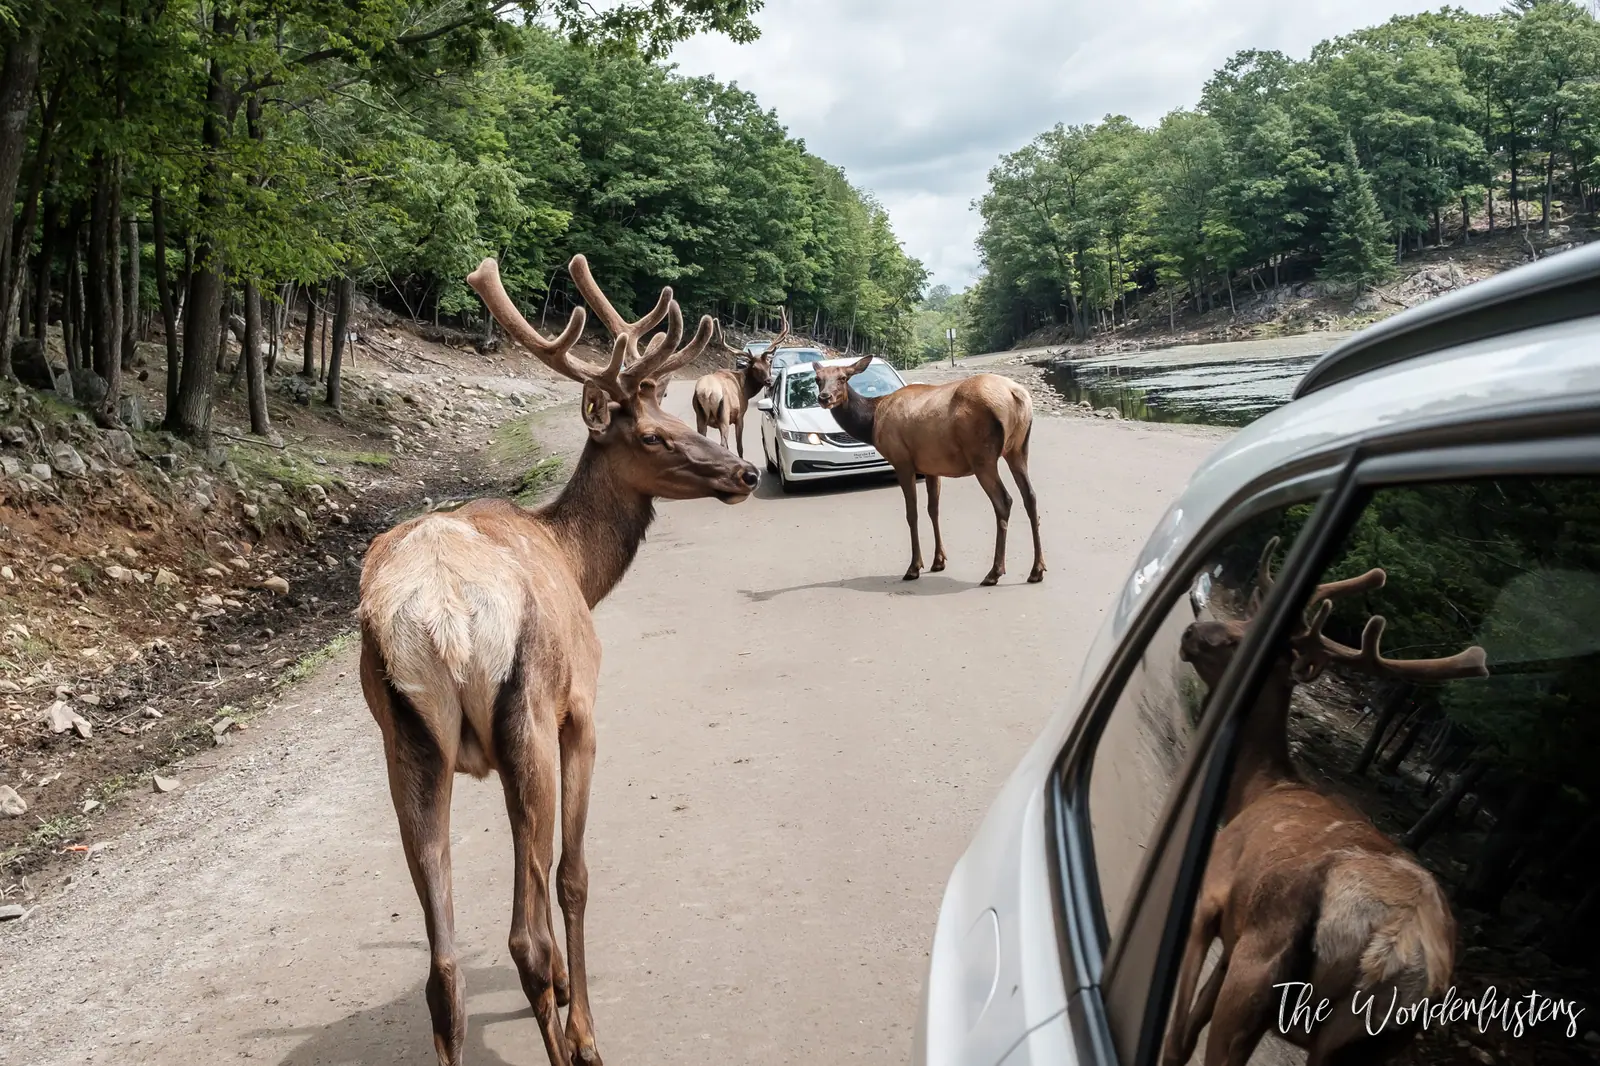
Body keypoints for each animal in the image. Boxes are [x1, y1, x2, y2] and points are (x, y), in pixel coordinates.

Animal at [356, 253, 759, 1066]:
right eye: (654, 437)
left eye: (679, 418)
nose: (744, 474)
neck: (578, 565)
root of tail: (440, 618)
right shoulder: (582, 710)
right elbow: (571, 878)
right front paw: (584, 1020)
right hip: (528, 719)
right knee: (525, 941)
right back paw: (577, 1043)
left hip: (405, 741)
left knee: (443, 970)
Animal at [690, 313, 786, 457]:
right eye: (755, 367)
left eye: (768, 364)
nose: (769, 381)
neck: (745, 389)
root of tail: (707, 393)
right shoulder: (740, 415)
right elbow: (739, 446)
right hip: (723, 415)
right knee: (723, 444)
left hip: (700, 416)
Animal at [810, 357, 1043, 586]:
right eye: (817, 379)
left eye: (843, 377)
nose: (824, 397)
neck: (871, 422)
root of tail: (1017, 396)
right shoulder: (932, 467)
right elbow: (933, 509)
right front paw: (938, 560)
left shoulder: (902, 461)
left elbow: (911, 513)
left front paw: (914, 567)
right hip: (1018, 449)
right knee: (1030, 496)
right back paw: (1036, 569)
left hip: (982, 456)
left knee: (1004, 500)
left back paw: (994, 572)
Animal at [1162, 538, 1489, 1066]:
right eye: (1247, 621)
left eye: (1239, 639)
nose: (1191, 630)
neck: (1255, 789)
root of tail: (1392, 949)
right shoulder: (1233, 939)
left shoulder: (1212, 894)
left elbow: (1179, 1039)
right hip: (1364, 1040)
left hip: (1263, 960)